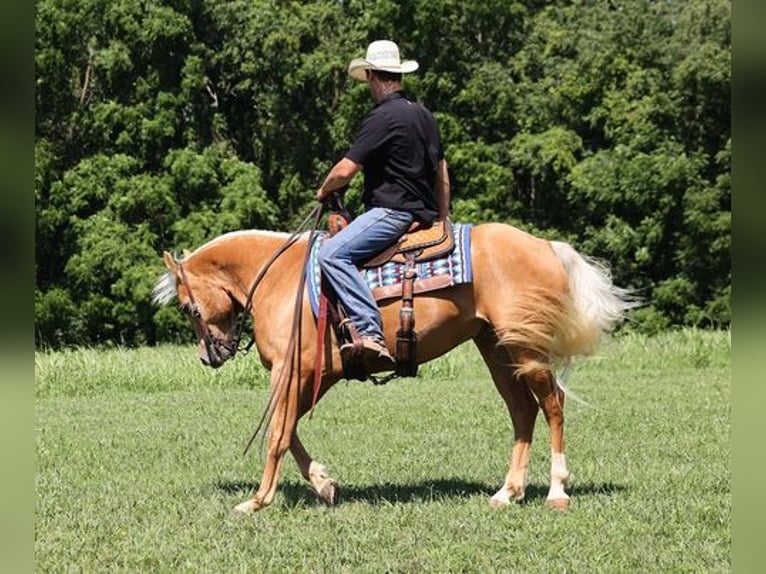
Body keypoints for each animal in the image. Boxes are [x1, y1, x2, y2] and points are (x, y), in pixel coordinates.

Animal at [152, 223, 636, 516]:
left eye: (189, 307)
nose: (210, 356)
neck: (284, 280)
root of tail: (547, 246)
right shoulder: (314, 375)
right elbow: (290, 430)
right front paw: (324, 485)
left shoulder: (291, 372)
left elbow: (276, 434)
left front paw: (256, 501)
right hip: (497, 348)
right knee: (523, 410)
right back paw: (508, 492)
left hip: (525, 349)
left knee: (552, 405)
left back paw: (557, 490)